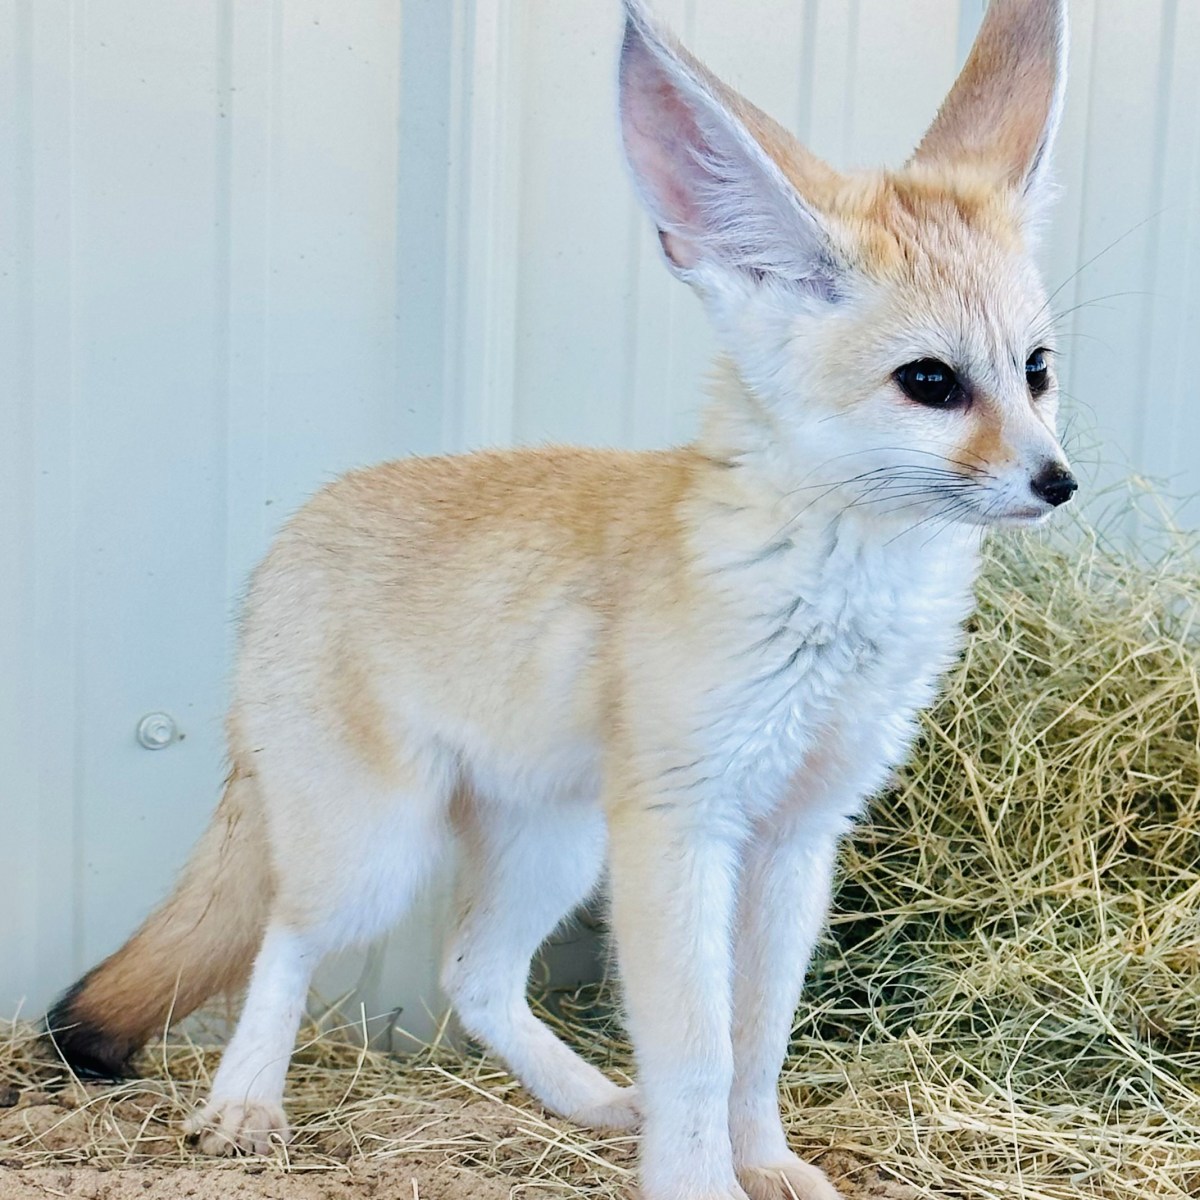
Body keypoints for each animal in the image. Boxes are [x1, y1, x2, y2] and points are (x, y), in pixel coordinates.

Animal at [46, 2, 1075, 1198]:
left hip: (557, 843)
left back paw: (585, 1098)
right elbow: (697, 1050)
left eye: (1036, 371)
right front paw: (698, 1182)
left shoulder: (798, 834)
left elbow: (759, 1039)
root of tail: (292, 534)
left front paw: (764, 1164)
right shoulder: (682, 827)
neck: (838, 604)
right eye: (931, 383)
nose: (1058, 482)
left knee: (472, 973)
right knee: (286, 939)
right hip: (379, 851)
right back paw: (245, 1105)